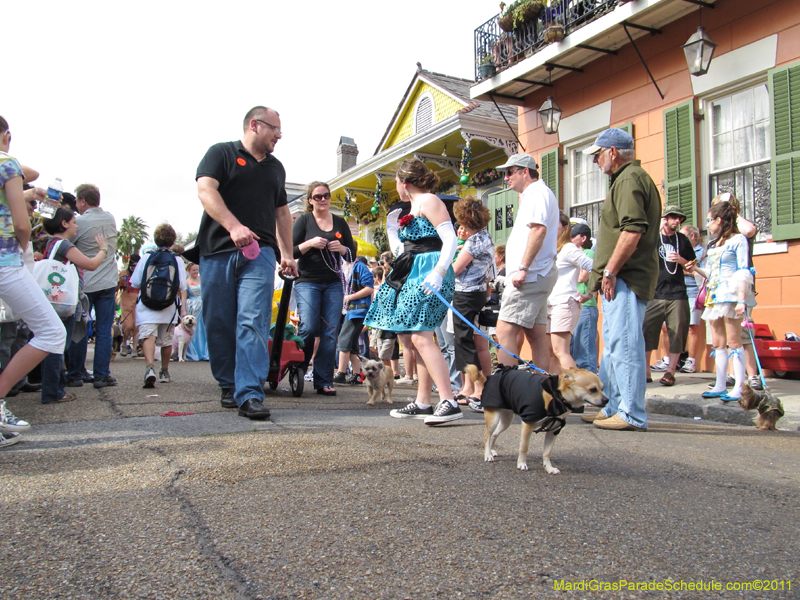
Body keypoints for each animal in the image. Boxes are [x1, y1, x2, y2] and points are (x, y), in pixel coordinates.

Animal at [468, 364, 608, 476]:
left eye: (603, 388)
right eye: (593, 389)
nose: (607, 400)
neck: (556, 396)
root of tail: (489, 378)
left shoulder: (553, 430)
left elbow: (547, 452)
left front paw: (549, 468)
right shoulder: (528, 425)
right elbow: (524, 447)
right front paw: (521, 463)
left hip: (506, 420)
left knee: (494, 434)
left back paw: (491, 451)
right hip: (494, 418)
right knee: (487, 435)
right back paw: (487, 454)